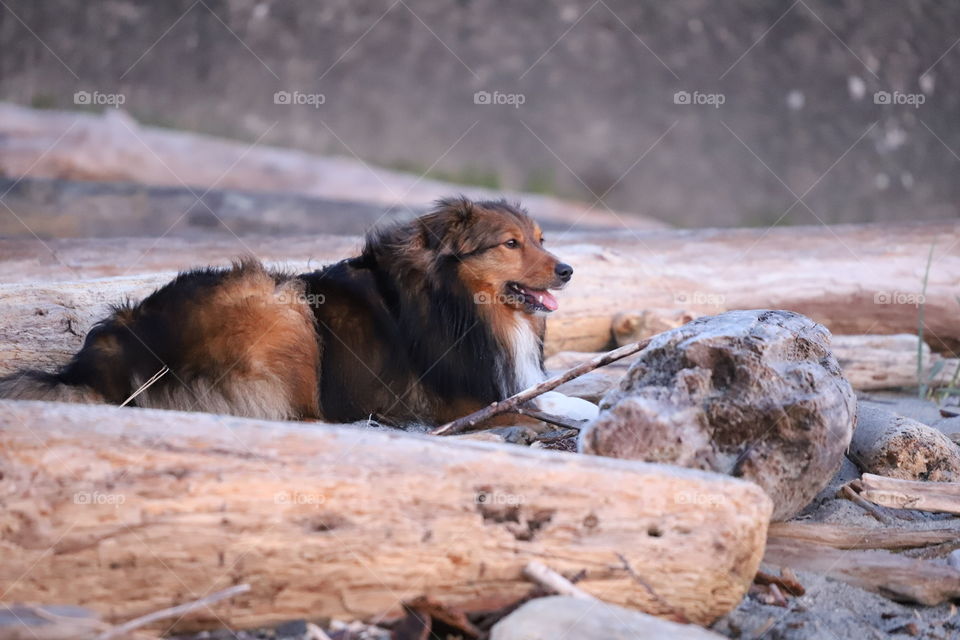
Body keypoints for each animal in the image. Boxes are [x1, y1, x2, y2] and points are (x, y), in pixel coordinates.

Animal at [0, 195, 576, 424]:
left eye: (541, 239)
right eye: (510, 244)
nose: (568, 270)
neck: (456, 298)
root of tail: (102, 364)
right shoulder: (465, 402)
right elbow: (541, 405)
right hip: (283, 304)